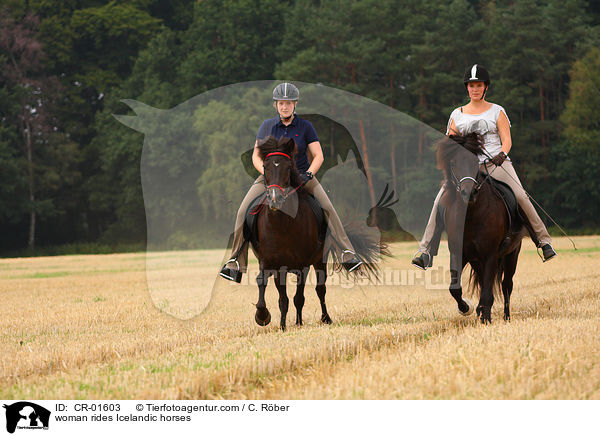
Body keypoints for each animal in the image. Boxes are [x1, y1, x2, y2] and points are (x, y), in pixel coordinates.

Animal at [252, 136, 384, 330]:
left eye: (288, 167)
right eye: (265, 167)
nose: (275, 199)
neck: (282, 224)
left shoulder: (303, 265)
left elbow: (298, 297)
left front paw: (297, 323)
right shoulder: (273, 263)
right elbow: (278, 295)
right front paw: (272, 321)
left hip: (320, 260)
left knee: (320, 289)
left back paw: (325, 318)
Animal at [436, 133, 524, 324]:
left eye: (474, 162)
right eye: (453, 163)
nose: (469, 192)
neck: (471, 215)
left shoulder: (490, 255)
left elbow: (487, 292)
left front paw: (486, 319)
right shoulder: (459, 253)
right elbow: (455, 288)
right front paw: (466, 308)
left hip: (511, 255)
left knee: (506, 285)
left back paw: (506, 317)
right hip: (477, 261)